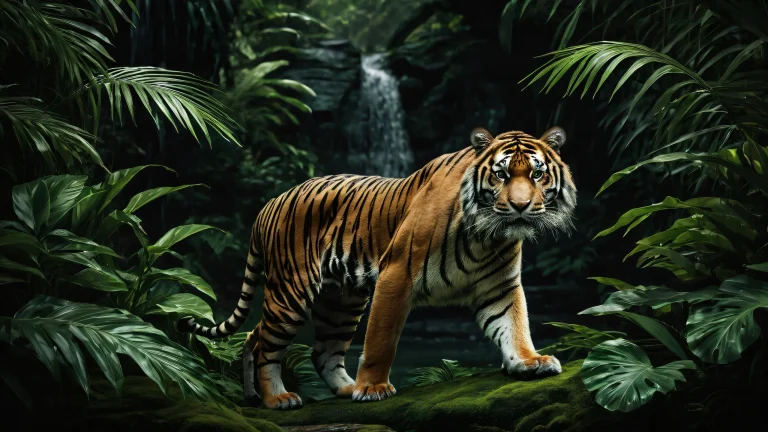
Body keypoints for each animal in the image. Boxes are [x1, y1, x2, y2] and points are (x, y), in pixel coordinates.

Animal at [179, 126, 577, 409]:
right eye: (502, 175)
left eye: (537, 175)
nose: (521, 207)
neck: (487, 236)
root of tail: (269, 204)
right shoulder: (397, 274)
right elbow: (381, 340)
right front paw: (372, 388)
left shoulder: (499, 286)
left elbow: (514, 326)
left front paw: (530, 361)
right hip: (291, 292)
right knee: (265, 343)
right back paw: (278, 398)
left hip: (340, 301)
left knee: (307, 348)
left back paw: (327, 391)